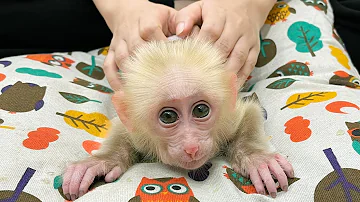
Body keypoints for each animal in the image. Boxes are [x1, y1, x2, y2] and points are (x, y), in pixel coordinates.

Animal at [61, 37, 292, 200]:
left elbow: (249, 113)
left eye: (201, 110)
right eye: (168, 116)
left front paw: (257, 159)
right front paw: (101, 161)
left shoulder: (228, 118)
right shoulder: (137, 130)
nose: (191, 147)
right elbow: (122, 130)